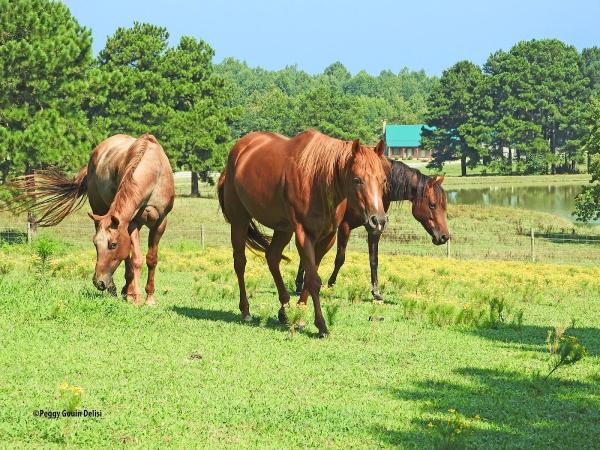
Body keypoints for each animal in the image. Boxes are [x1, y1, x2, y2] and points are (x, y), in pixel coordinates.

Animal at [8, 132, 175, 304]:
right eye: (95, 244)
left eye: (113, 244)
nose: (98, 282)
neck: (153, 170)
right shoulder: (132, 223)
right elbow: (136, 259)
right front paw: (136, 298)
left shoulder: (160, 222)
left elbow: (151, 259)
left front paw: (149, 299)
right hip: (100, 211)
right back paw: (120, 290)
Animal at [218, 130, 386, 338]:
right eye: (357, 180)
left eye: (383, 180)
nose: (377, 221)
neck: (317, 180)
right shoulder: (303, 234)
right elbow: (313, 280)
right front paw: (321, 326)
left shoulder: (327, 238)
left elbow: (309, 277)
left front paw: (298, 314)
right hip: (239, 221)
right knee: (240, 262)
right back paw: (246, 310)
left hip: (283, 229)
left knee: (272, 257)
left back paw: (284, 309)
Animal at [292, 158, 448, 302]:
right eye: (432, 205)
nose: (444, 236)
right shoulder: (345, 226)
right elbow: (340, 258)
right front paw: (331, 283)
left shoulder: (375, 229)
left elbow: (373, 260)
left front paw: (376, 292)